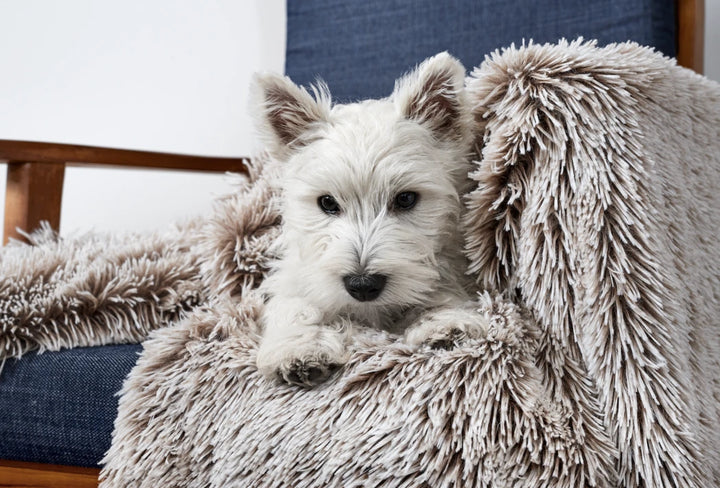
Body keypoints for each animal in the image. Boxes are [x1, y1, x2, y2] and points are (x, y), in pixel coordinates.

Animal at [250, 53, 486, 386]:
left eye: (406, 199)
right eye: (327, 202)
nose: (362, 285)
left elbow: (440, 294)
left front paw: (445, 323)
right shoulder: (294, 277)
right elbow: (295, 305)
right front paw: (299, 349)